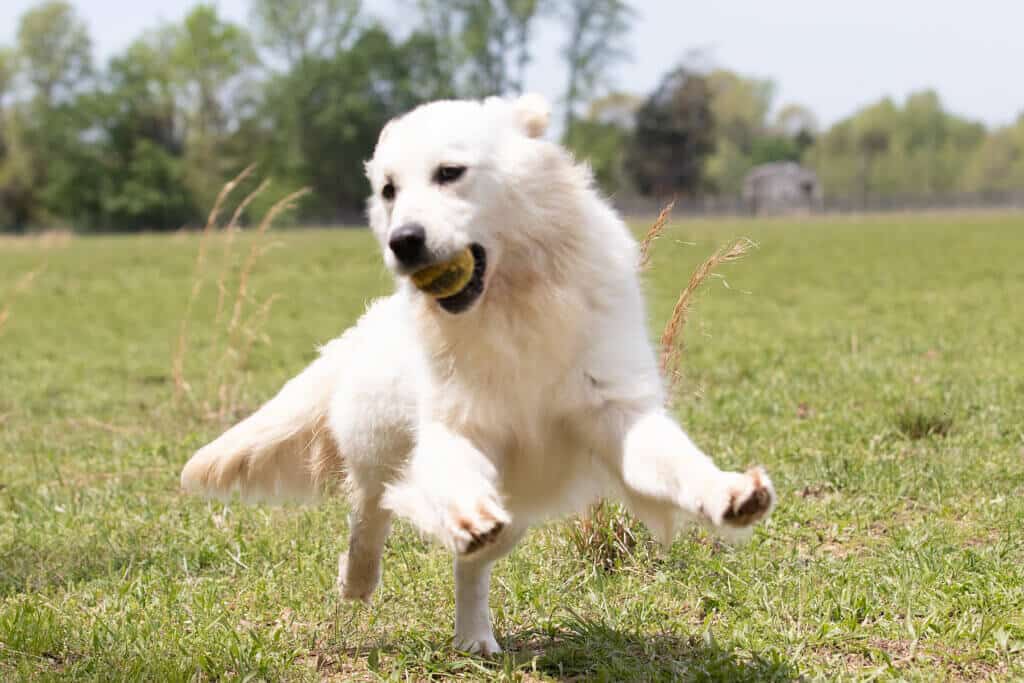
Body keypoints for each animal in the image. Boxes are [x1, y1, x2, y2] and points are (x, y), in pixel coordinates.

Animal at [184, 94, 774, 655]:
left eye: (450, 172)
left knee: (468, 566)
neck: (511, 308)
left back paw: (472, 637)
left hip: (514, 515)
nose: (403, 241)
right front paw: (464, 515)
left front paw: (730, 494)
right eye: (389, 190)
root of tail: (364, 329)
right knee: (370, 510)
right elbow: (451, 484)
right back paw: (358, 580)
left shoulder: (617, 415)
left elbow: (682, 466)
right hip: (379, 448)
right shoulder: (455, 429)